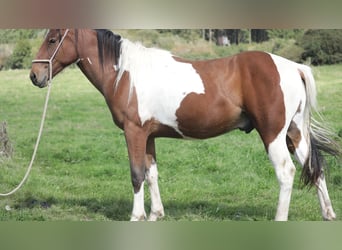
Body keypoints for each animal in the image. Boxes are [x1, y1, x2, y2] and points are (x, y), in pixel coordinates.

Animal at [30, 28, 340, 221]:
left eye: (53, 39)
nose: (35, 75)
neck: (126, 73)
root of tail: (293, 67)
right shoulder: (149, 136)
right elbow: (151, 173)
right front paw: (155, 214)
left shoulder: (134, 132)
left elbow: (136, 174)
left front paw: (136, 215)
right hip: (295, 133)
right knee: (315, 168)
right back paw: (328, 214)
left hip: (273, 135)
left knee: (286, 172)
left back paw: (280, 217)